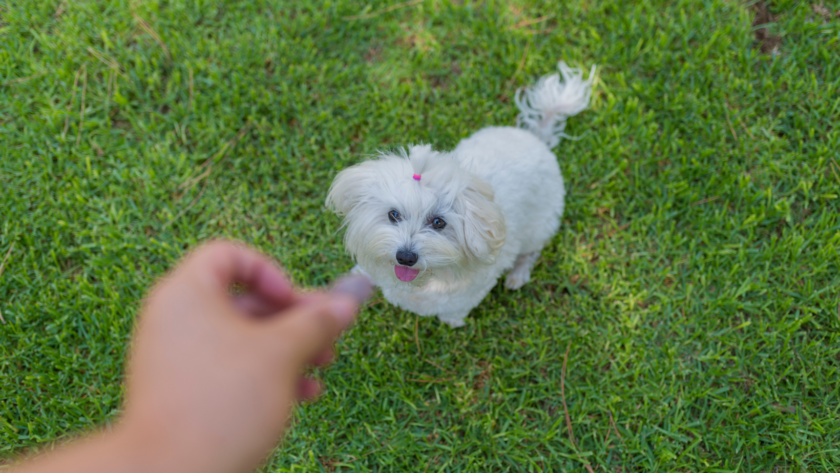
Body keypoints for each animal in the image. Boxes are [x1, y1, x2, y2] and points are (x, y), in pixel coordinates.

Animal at [324, 61, 592, 328]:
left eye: (438, 222)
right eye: (393, 215)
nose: (405, 257)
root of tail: (537, 138)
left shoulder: (468, 293)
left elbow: (454, 311)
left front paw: (452, 322)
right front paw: (359, 274)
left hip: (540, 226)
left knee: (531, 252)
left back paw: (518, 275)